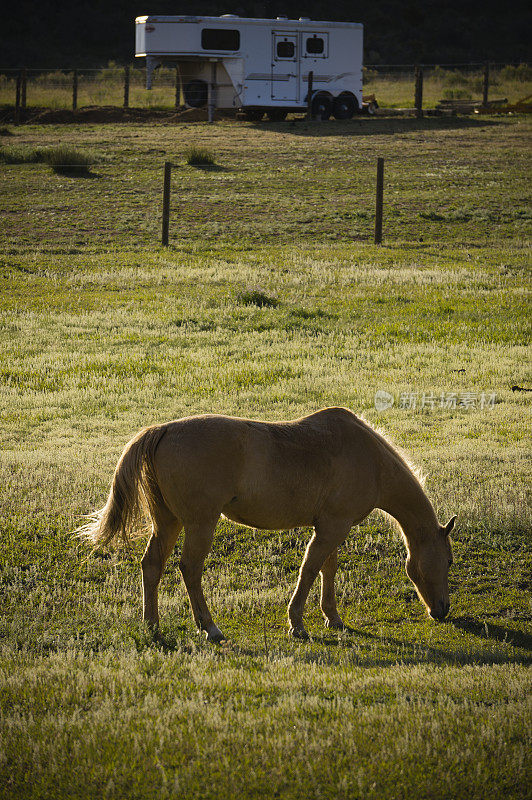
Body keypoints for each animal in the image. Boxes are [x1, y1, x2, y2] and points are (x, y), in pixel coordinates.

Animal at [77, 410, 456, 640]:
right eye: (449, 561)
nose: (442, 611)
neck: (368, 457)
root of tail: (163, 431)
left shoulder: (331, 527)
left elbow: (327, 569)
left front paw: (332, 618)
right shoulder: (333, 527)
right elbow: (310, 569)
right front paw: (297, 623)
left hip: (167, 523)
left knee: (152, 565)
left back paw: (152, 625)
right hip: (200, 524)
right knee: (190, 568)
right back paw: (210, 627)